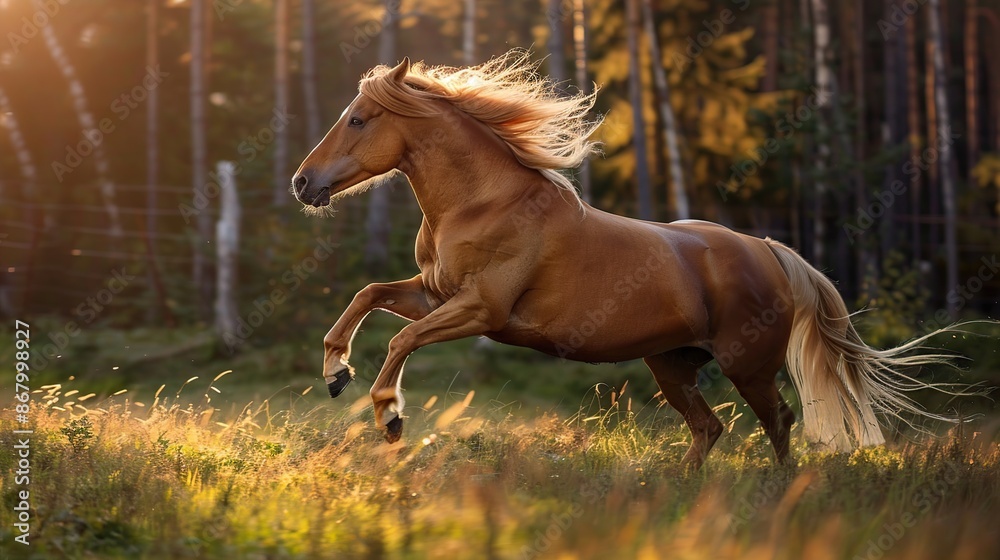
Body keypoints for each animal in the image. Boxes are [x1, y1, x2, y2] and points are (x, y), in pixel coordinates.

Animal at [292, 50, 968, 468]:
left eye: (358, 120)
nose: (303, 183)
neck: (483, 202)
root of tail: (769, 252)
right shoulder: (434, 294)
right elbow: (369, 296)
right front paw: (334, 371)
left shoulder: (481, 310)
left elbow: (401, 340)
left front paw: (389, 415)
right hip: (671, 364)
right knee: (710, 428)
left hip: (747, 364)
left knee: (777, 421)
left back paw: (778, 492)